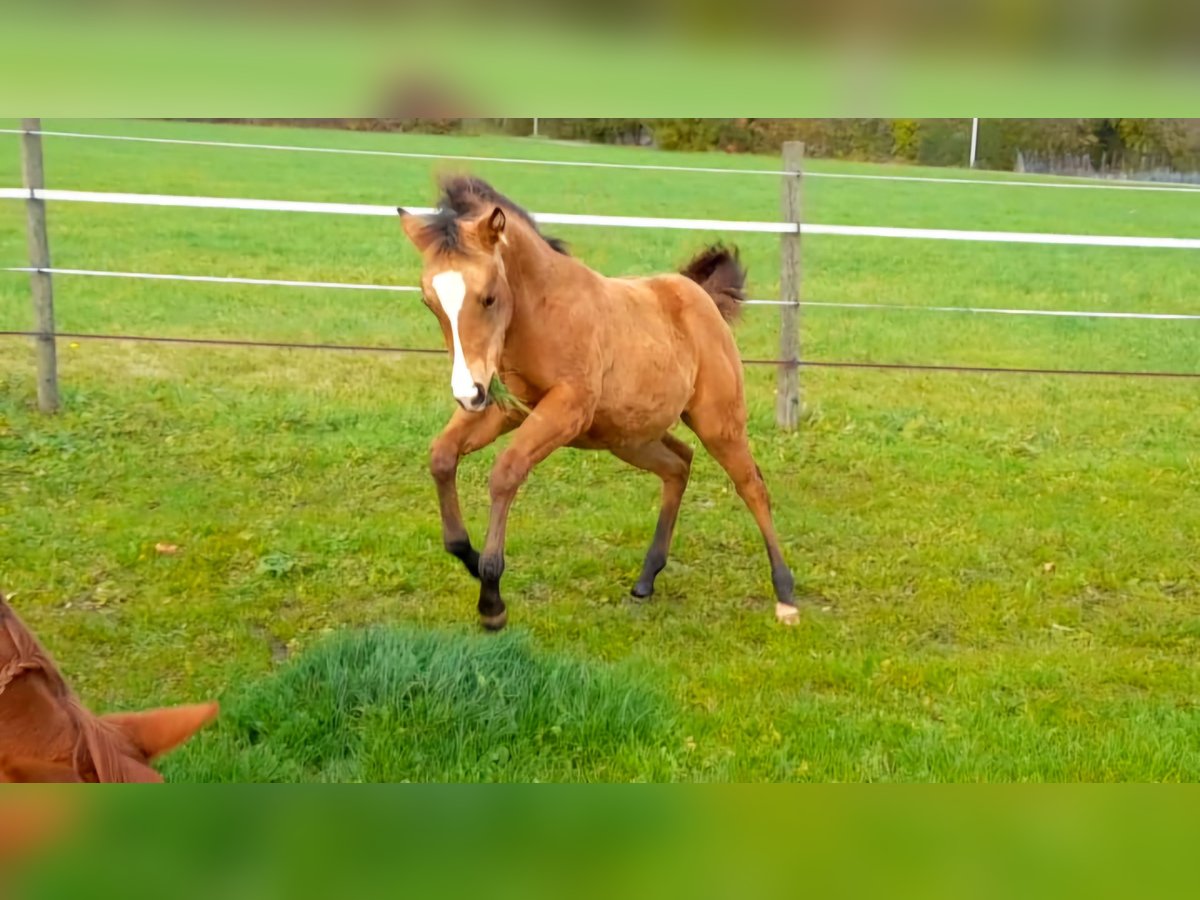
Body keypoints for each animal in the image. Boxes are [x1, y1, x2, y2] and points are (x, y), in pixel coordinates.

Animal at [397, 176, 798, 631]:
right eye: (429, 302)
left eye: (488, 297)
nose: (468, 393)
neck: (542, 313)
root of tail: (698, 293)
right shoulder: (508, 406)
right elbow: (442, 456)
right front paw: (468, 555)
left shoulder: (567, 409)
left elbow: (505, 472)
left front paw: (492, 600)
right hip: (629, 437)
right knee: (679, 463)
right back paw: (646, 579)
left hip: (717, 423)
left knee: (752, 486)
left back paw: (785, 595)